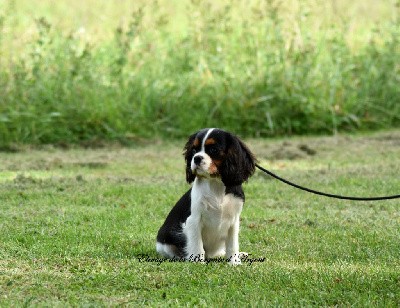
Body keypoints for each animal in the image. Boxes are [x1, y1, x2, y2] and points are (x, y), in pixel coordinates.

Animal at [156, 127, 256, 264]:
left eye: (213, 150)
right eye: (194, 150)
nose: (196, 158)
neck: (215, 183)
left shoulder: (234, 221)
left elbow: (232, 244)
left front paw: (234, 262)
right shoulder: (193, 220)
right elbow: (197, 245)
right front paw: (198, 263)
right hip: (165, 245)